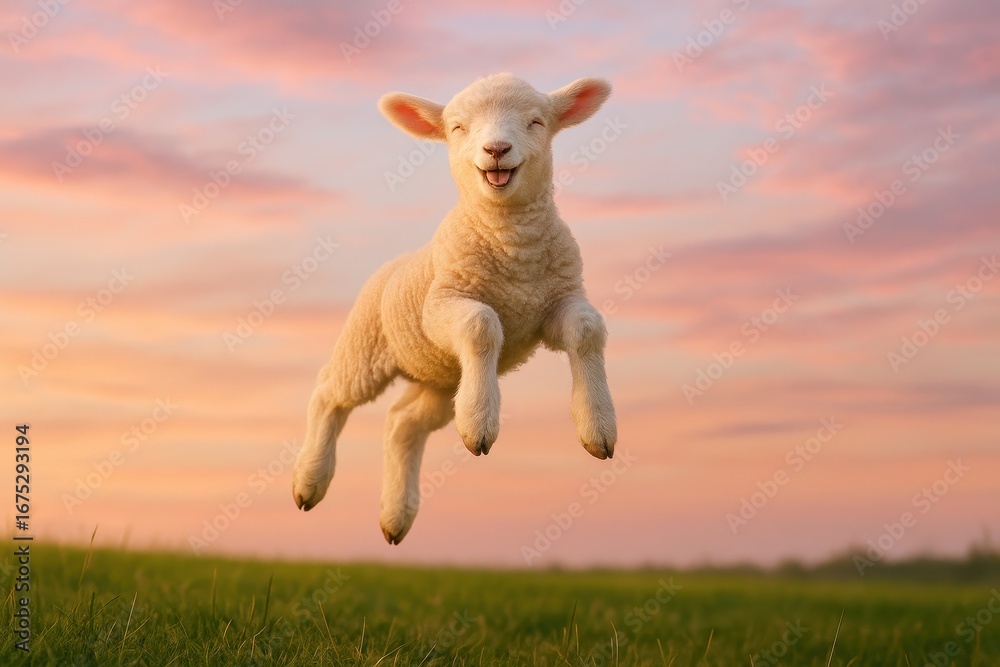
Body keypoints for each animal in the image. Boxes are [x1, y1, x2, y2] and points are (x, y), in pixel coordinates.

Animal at [292, 73, 618, 545]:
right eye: (458, 128)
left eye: (536, 122)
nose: (496, 148)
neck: (513, 245)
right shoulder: (442, 304)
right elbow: (482, 324)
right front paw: (481, 424)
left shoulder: (557, 301)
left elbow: (588, 329)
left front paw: (598, 428)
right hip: (366, 345)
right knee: (329, 394)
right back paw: (309, 480)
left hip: (441, 379)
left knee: (403, 424)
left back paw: (396, 517)